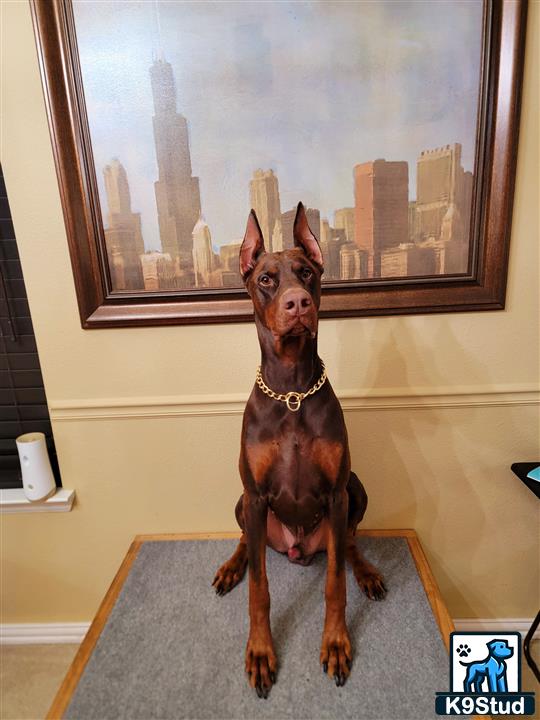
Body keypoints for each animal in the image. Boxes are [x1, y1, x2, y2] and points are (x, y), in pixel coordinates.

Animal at [213, 202, 386, 696]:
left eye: (307, 272)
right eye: (267, 279)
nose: (298, 303)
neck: (291, 390)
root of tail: (297, 548)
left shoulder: (336, 493)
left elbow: (335, 583)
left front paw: (336, 643)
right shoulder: (254, 495)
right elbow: (259, 587)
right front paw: (260, 651)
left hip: (355, 490)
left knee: (347, 543)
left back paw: (365, 571)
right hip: (243, 503)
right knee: (248, 544)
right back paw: (231, 567)